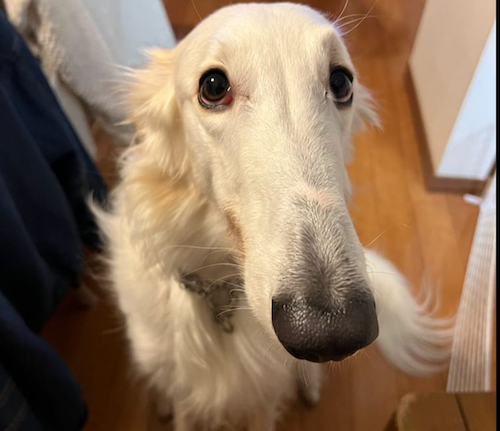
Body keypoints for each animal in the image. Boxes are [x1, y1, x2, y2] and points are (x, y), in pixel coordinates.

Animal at [95, 3, 452, 430]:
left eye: (341, 81)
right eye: (213, 86)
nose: (331, 332)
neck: (219, 294)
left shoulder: (264, 396)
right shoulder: (187, 397)